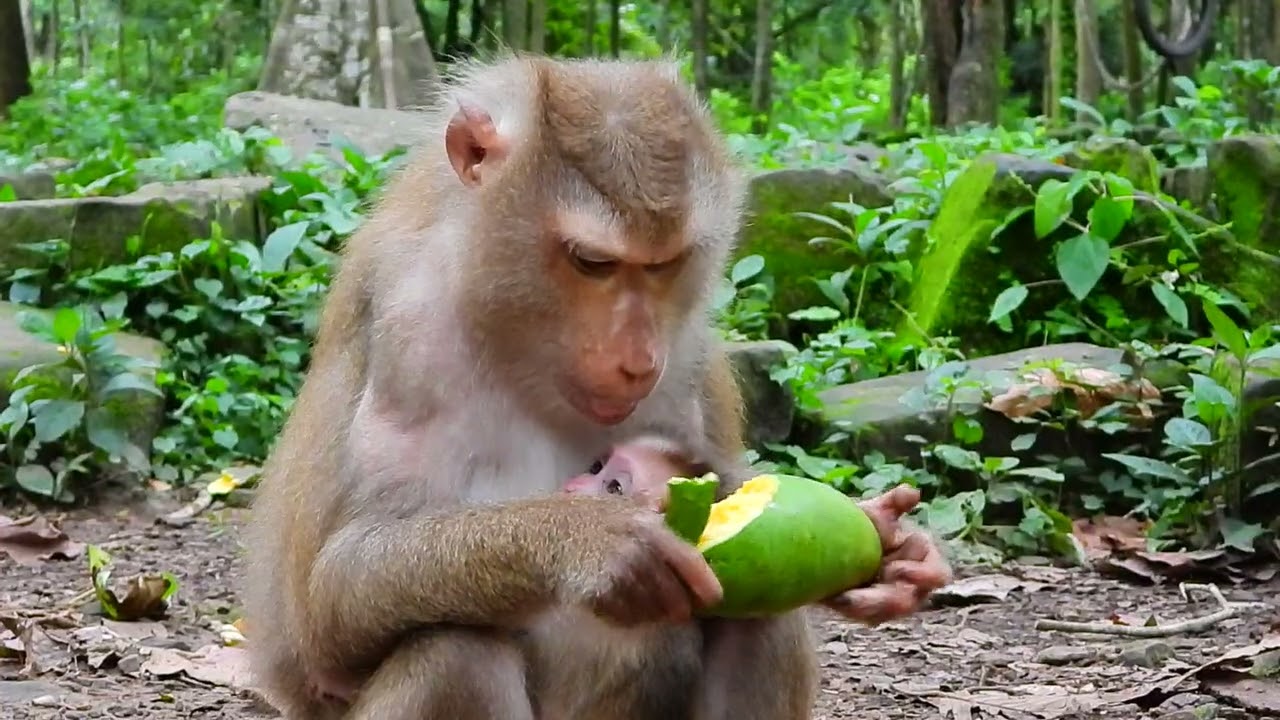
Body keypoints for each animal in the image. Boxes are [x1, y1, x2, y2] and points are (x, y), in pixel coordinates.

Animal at [242, 54, 948, 720]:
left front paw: (895, 550)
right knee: (454, 653)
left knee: (761, 617)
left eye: (665, 265)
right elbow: (330, 600)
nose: (636, 361)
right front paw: (590, 542)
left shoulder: (689, 350)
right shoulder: (407, 338)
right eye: (593, 263)